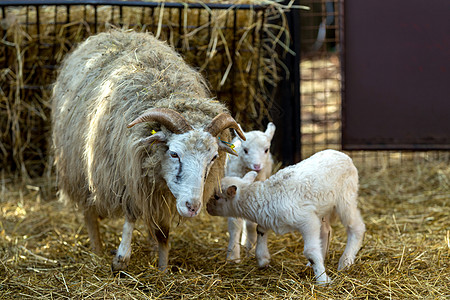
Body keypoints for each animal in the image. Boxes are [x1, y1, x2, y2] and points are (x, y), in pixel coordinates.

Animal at [51, 28, 244, 272]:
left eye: (214, 158)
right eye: (174, 153)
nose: (192, 206)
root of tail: (113, 31)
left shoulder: (161, 194)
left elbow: (163, 233)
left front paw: (162, 267)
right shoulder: (127, 177)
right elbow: (131, 216)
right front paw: (121, 257)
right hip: (78, 168)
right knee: (89, 212)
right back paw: (97, 249)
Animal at [207, 149, 366, 284]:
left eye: (216, 196)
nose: (207, 208)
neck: (265, 196)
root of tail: (344, 155)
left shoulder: (307, 220)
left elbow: (309, 251)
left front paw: (323, 280)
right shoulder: (267, 217)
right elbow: (260, 230)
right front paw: (263, 260)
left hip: (346, 197)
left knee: (356, 227)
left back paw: (345, 261)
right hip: (323, 207)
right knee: (326, 231)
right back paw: (315, 262)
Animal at [224, 122, 274, 262]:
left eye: (266, 150)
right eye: (245, 150)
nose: (257, 166)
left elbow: (251, 223)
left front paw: (250, 248)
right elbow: (235, 223)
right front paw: (233, 256)